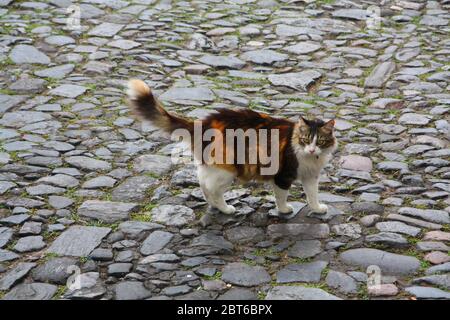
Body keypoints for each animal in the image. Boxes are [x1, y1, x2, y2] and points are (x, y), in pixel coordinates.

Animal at [126, 78, 338, 215]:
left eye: (319, 141)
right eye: (305, 139)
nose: (311, 149)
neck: (309, 157)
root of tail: (203, 123)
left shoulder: (310, 177)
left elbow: (312, 195)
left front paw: (317, 208)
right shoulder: (283, 176)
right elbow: (281, 196)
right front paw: (284, 210)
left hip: (212, 167)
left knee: (202, 183)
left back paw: (214, 206)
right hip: (227, 171)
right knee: (211, 188)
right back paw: (225, 208)